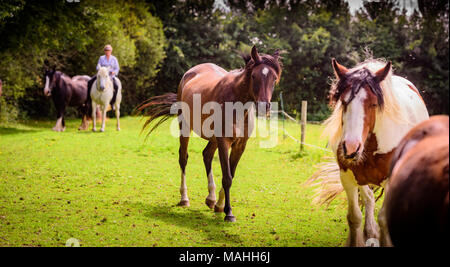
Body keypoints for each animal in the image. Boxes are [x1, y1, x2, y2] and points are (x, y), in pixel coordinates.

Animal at [139, 46, 284, 222]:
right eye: (254, 76)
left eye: (274, 78)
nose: (265, 107)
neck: (237, 103)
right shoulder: (224, 141)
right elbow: (227, 177)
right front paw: (229, 213)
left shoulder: (240, 145)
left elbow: (231, 174)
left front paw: (220, 206)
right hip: (185, 127)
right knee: (183, 158)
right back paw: (184, 198)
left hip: (213, 139)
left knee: (206, 155)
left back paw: (211, 198)